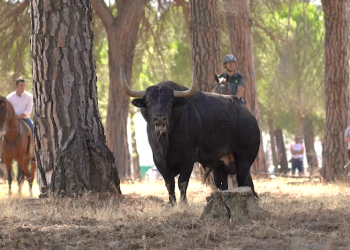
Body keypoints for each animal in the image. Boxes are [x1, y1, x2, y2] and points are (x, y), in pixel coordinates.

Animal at [121, 70, 260, 203]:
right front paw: (171, 204)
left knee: (243, 181)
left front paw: (183, 203)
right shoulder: (159, 160)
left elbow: (182, 183)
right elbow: (169, 184)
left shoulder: (187, 159)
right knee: (223, 183)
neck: (166, 143)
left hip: (244, 158)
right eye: (148, 101)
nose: (160, 119)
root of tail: (250, 117)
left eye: (170, 101)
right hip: (220, 163)